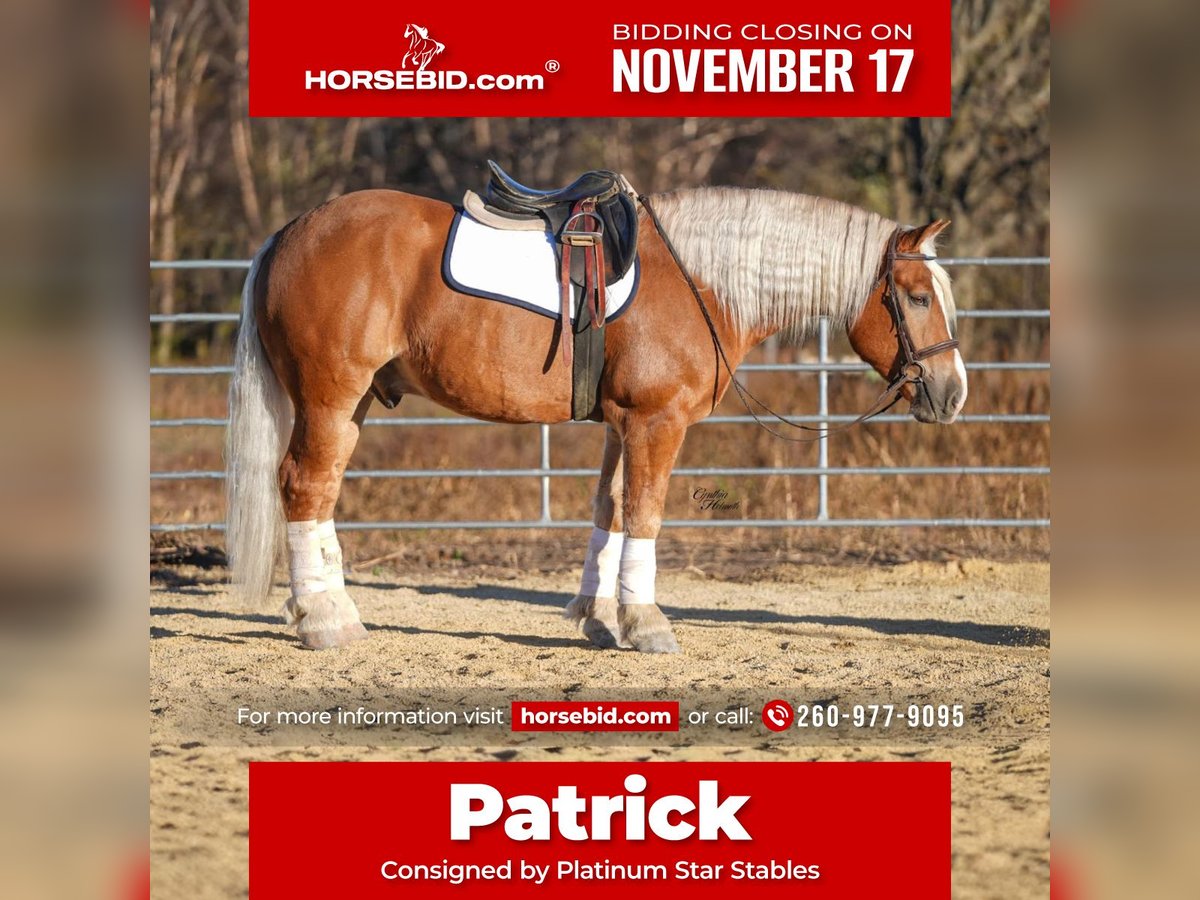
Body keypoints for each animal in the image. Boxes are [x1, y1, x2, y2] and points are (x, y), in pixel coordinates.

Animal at [225, 184, 967, 653]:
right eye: (917, 296)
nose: (953, 392)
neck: (697, 281)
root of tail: (288, 234)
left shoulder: (621, 424)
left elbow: (608, 509)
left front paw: (598, 616)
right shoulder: (656, 422)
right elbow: (645, 513)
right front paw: (646, 622)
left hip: (351, 406)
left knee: (321, 492)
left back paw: (330, 608)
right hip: (329, 398)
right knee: (303, 485)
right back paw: (323, 621)